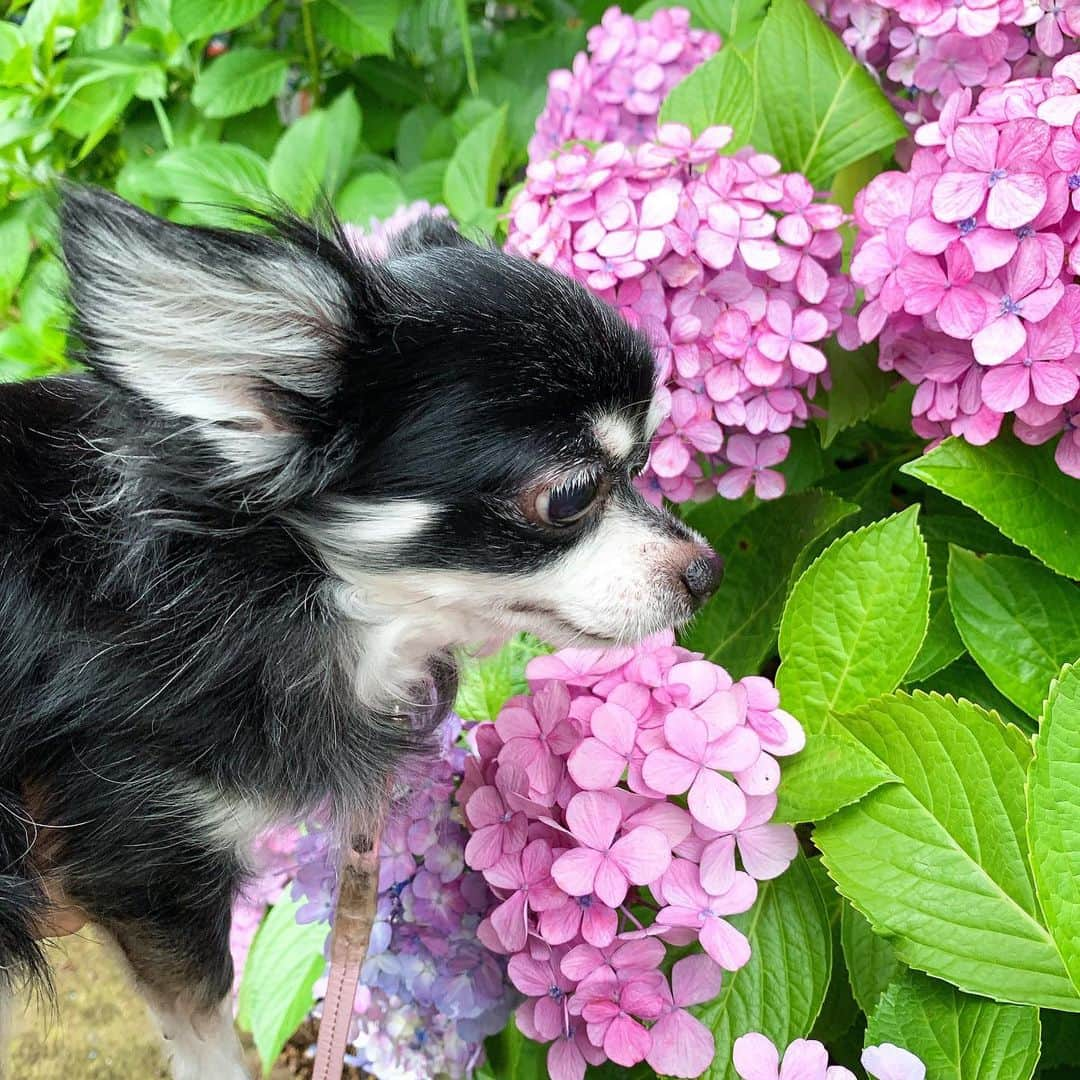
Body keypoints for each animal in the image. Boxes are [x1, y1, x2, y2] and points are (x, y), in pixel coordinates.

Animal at [0, 187, 725, 1080]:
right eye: (572, 495)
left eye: (647, 461)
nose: (706, 571)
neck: (270, 579)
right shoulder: (148, 864)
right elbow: (209, 1034)